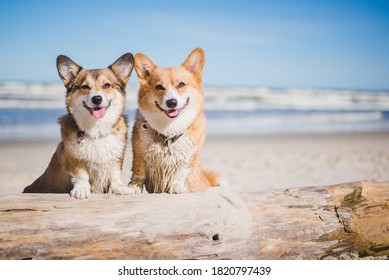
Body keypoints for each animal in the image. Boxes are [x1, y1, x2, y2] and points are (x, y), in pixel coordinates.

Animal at [24, 53, 134, 198]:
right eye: (85, 87)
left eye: (106, 85)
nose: (97, 99)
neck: (96, 129)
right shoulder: (75, 159)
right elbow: (82, 175)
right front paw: (81, 189)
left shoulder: (117, 158)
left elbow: (115, 174)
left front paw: (120, 188)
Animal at [128, 48, 217, 194]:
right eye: (159, 87)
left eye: (181, 84)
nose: (172, 103)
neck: (169, 130)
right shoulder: (138, 154)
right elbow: (138, 173)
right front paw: (133, 188)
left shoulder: (187, 159)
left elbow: (180, 173)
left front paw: (176, 188)